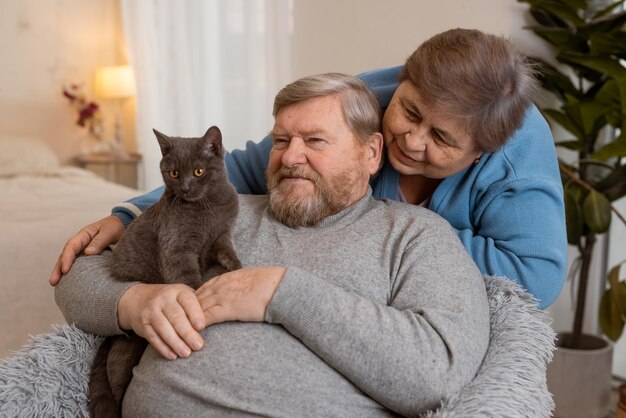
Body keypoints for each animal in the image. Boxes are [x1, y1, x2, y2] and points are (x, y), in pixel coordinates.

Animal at [89, 126, 240, 418]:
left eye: (199, 172)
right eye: (174, 173)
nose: (185, 188)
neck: (207, 207)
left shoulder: (221, 235)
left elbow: (227, 250)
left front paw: (238, 267)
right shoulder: (177, 249)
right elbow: (188, 281)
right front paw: (195, 304)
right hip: (128, 349)